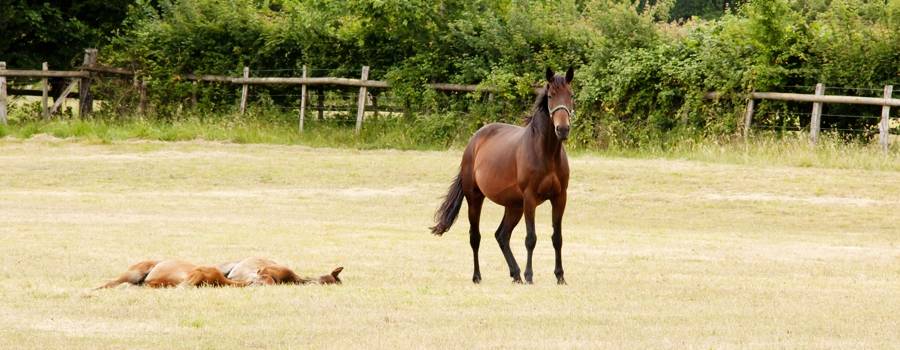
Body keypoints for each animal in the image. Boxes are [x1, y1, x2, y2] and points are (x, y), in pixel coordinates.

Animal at [432, 67, 572, 284]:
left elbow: (557, 238)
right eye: (551, 96)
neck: (546, 153)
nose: (563, 129)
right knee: (475, 237)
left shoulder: (559, 198)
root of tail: (474, 141)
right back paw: (478, 276)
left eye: (571, 95)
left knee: (502, 235)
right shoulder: (530, 199)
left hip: (513, 206)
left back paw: (515, 274)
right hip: (475, 199)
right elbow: (531, 238)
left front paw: (560, 277)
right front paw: (530, 276)